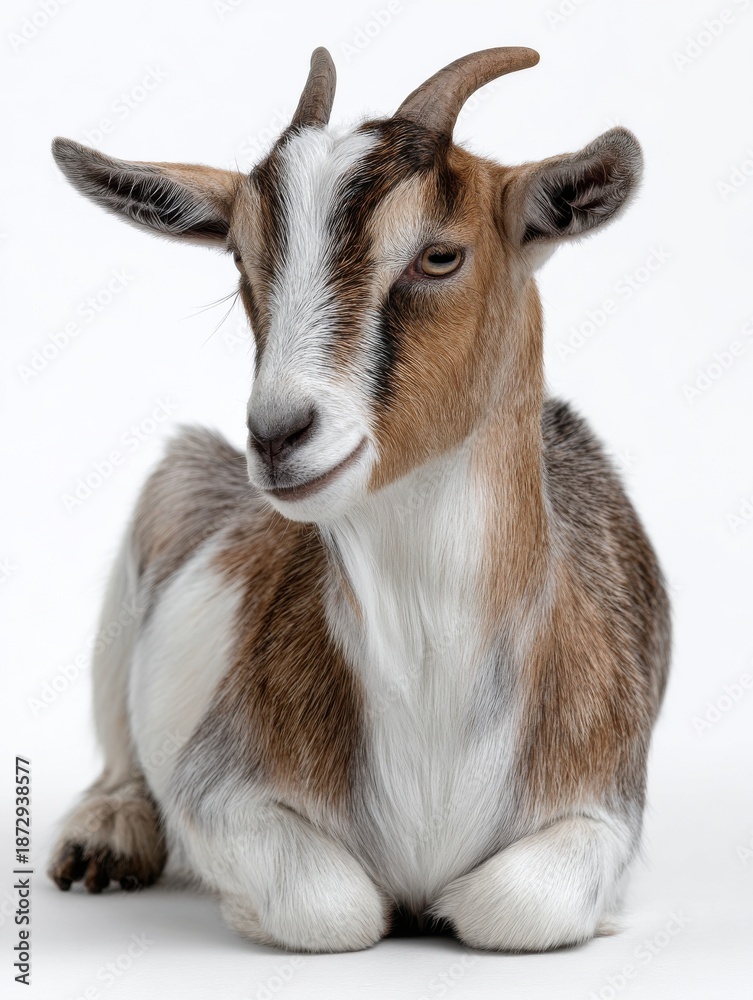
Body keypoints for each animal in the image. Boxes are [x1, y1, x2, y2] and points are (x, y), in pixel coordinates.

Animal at [48, 46, 670, 953]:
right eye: (240, 259)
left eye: (440, 256)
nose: (277, 434)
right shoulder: (217, 789)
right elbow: (332, 904)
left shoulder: (609, 808)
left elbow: (515, 902)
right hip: (156, 518)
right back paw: (106, 837)